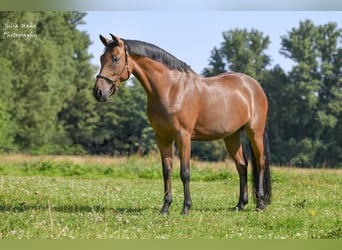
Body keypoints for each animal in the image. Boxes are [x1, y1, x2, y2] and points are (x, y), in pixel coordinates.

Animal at [93, 33, 272, 215]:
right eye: (101, 58)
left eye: (115, 58)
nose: (98, 92)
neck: (171, 89)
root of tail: (253, 86)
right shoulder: (162, 138)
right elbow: (167, 171)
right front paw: (165, 207)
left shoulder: (183, 137)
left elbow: (185, 172)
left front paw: (186, 207)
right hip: (232, 136)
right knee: (242, 165)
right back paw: (240, 204)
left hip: (255, 133)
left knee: (260, 163)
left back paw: (260, 204)